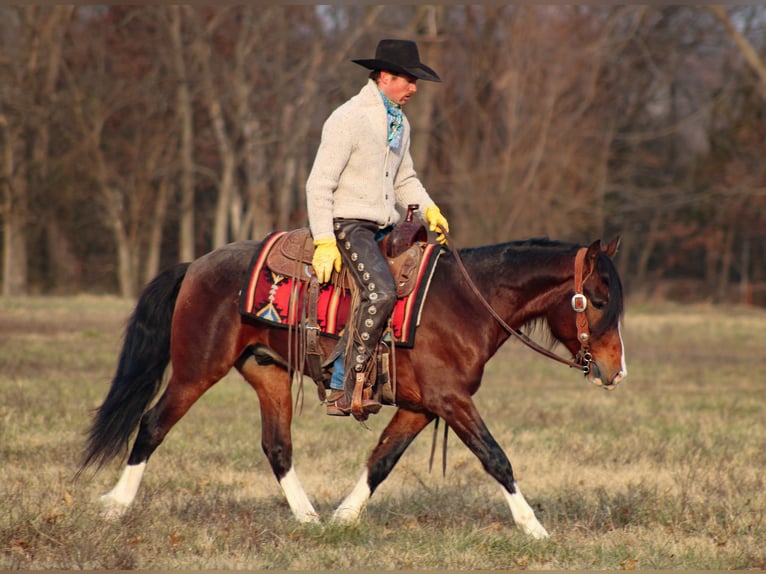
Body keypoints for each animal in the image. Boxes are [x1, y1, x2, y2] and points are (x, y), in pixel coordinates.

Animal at [78, 233, 626, 539]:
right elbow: (496, 458)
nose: (616, 370)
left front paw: (344, 517)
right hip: (197, 368)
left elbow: (382, 460)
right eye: (599, 300)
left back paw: (308, 519)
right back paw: (115, 506)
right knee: (153, 424)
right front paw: (535, 529)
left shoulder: (423, 407)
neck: (468, 302)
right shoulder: (452, 401)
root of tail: (195, 265)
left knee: (277, 446)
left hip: (268, 371)